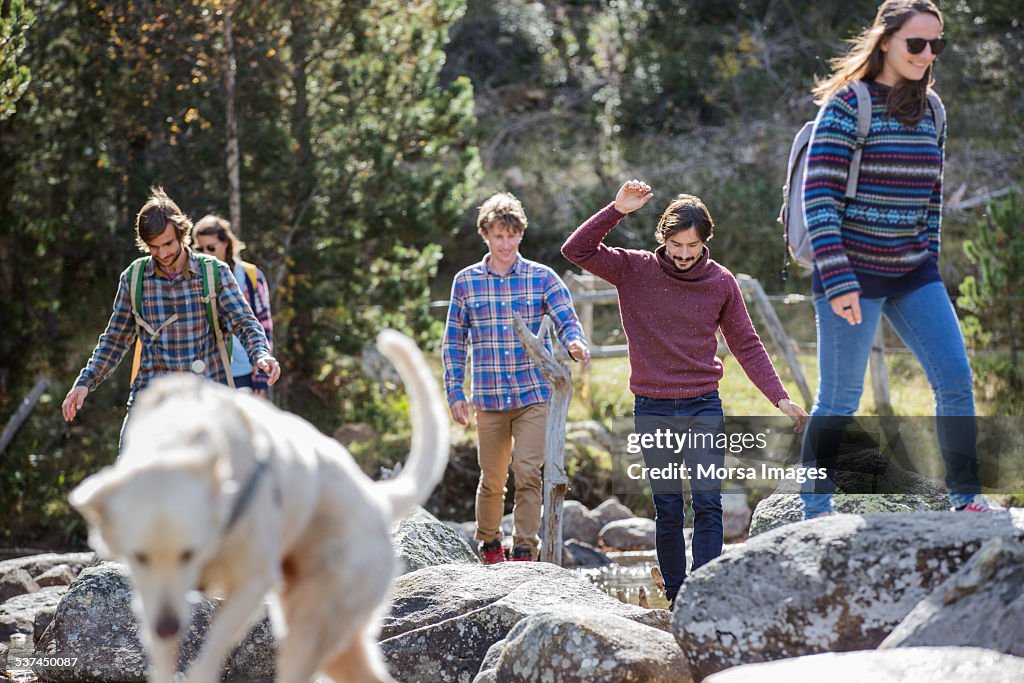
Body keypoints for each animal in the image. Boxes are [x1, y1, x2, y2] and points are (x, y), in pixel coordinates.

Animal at [72, 331, 452, 683]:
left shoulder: (251, 582)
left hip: (313, 622)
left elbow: (212, 650)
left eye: (189, 554)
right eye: (139, 557)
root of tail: (376, 497)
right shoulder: (153, 594)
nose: (167, 626)